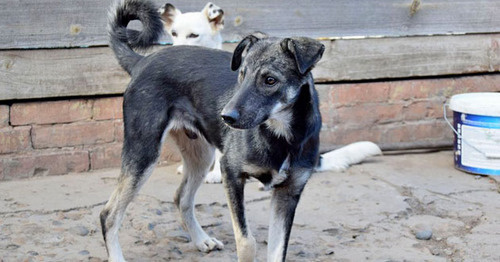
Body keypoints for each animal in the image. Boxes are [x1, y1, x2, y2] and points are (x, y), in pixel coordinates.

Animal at [102, 1, 324, 260]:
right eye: (241, 75)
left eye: (270, 80)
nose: (225, 117)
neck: (282, 135)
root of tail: (141, 62)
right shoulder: (231, 173)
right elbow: (247, 241)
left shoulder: (288, 194)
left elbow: (278, 250)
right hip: (143, 152)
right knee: (108, 214)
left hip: (200, 156)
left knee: (181, 198)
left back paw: (201, 240)